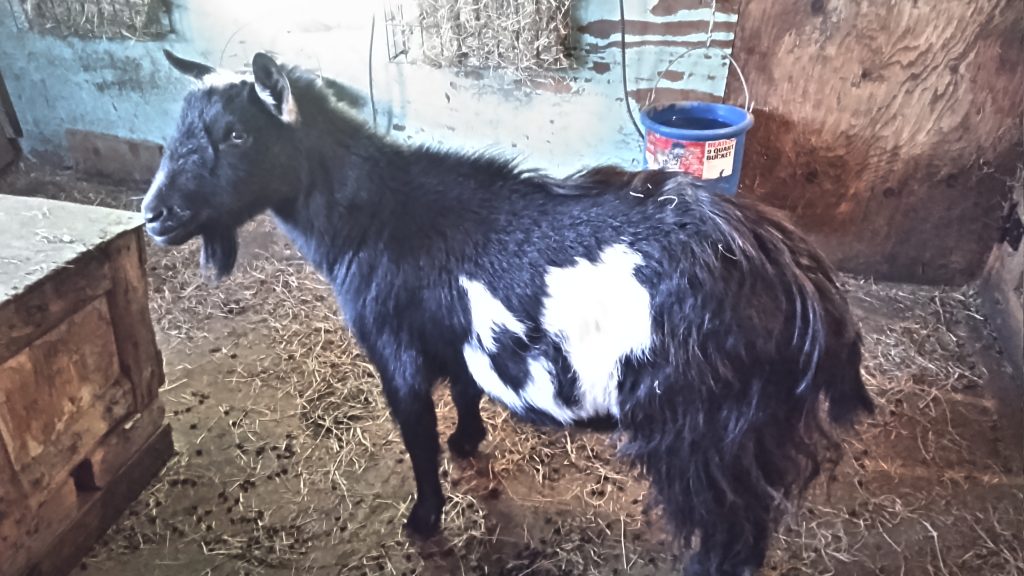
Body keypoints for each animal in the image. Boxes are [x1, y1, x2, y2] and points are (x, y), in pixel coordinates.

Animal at [144, 50, 876, 573]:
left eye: (235, 133)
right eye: (175, 131)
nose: (154, 215)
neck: (377, 218)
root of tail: (799, 279)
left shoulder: (395, 350)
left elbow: (417, 436)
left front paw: (423, 520)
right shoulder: (455, 336)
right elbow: (466, 392)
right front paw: (469, 443)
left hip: (708, 432)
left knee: (730, 539)